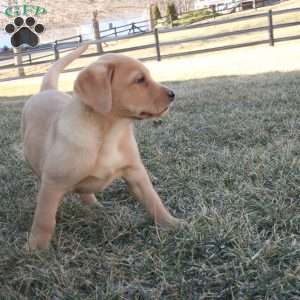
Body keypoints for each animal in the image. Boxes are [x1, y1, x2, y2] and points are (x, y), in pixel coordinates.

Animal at [22, 45, 182, 251]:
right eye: (139, 80)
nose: (172, 94)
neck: (111, 132)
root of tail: (47, 90)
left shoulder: (136, 173)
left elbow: (153, 200)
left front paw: (171, 223)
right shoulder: (52, 183)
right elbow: (45, 219)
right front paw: (36, 248)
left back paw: (92, 204)